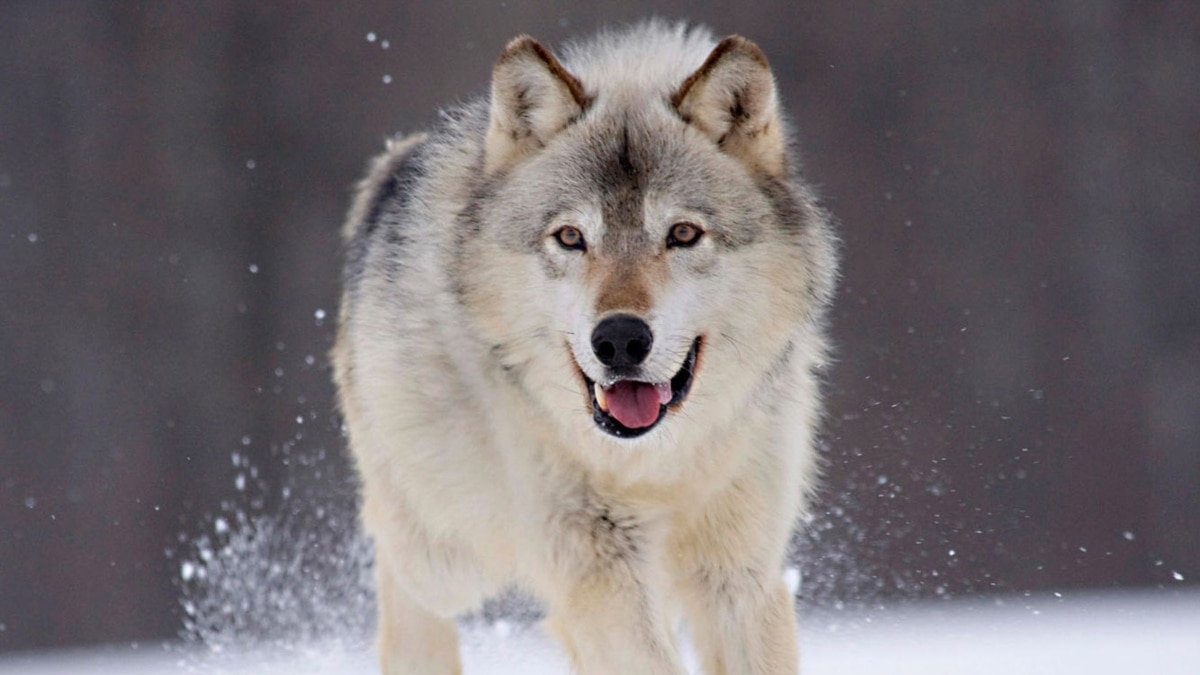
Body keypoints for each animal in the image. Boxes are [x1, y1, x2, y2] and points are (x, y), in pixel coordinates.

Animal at [333, 21, 840, 672]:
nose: (620, 340)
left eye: (683, 234)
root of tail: (392, 167)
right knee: (401, 572)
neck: (655, 464)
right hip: (450, 549)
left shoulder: (739, 574)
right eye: (571, 237)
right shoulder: (597, 564)